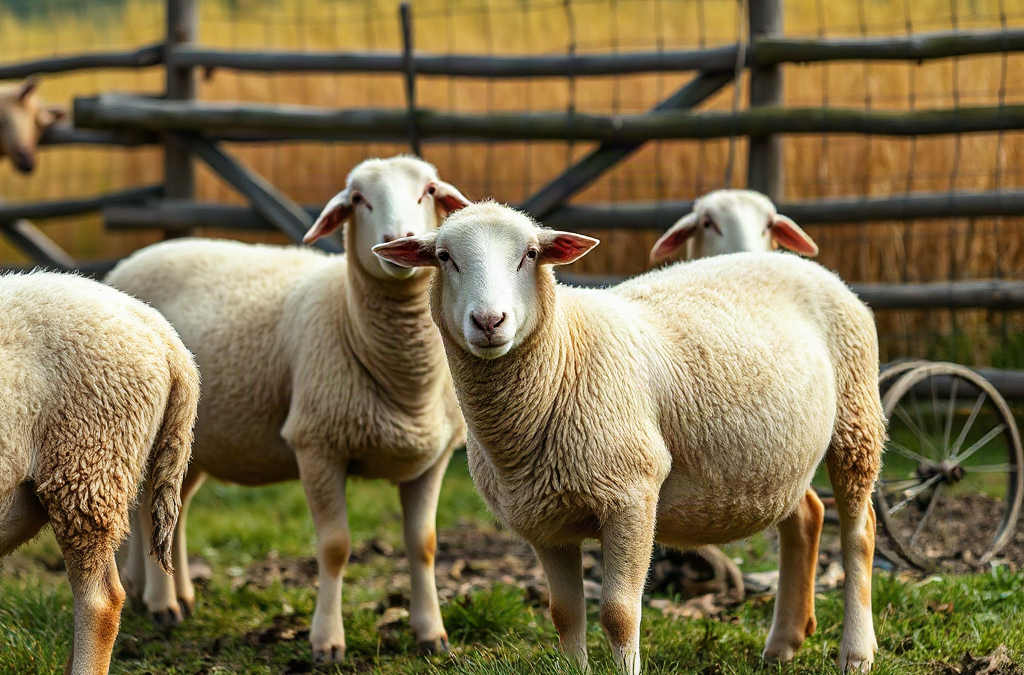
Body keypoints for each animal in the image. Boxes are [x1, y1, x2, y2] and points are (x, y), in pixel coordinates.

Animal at [105, 155, 470, 663]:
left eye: (430, 191)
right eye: (359, 199)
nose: (397, 239)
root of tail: (132, 259)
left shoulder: (432, 459)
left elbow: (425, 545)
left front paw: (431, 635)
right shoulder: (317, 444)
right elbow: (335, 547)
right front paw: (327, 642)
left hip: (200, 440)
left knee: (173, 509)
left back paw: (171, 595)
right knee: (147, 512)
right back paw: (162, 604)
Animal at [373, 201, 885, 674]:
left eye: (531, 254)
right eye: (444, 257)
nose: (488, 321)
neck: (563, 358)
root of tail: (806, 265)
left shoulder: (631, 497)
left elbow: (619, 614)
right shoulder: (544, 520)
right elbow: (564, 615)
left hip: (856, 418)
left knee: (859, 532)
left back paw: (856, 653)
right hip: (774, 460)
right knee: (807, 516)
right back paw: (783, 644)